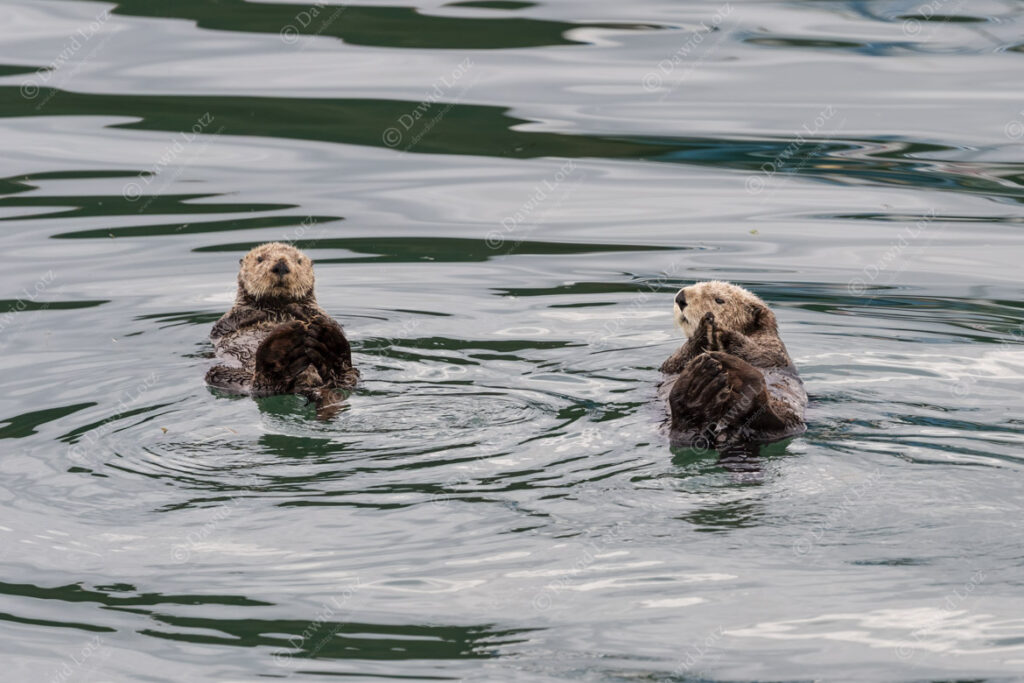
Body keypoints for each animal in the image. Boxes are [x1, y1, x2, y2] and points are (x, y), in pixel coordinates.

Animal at [205, 242, 358, 413]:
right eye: (260, 259)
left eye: (298, 261)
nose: (281, 265)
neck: (277, 308)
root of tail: (305, 383)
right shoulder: (224, 323)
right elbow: (225, 324)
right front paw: (257, 312)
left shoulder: (323, 315)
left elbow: (329, 321)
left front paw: (296, 307)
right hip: (223, 373)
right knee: (260, 386)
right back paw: (283, 352)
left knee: (346, 379)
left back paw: (328, 346)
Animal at [660, 281, 806, 448]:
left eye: (719, 300)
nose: (680, 298)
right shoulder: (672, 365)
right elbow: (673, 363)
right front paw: (702, 331)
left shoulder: (773, 348)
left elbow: (761, 353)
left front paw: (723, 333)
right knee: (687, 433)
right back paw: (697, 390)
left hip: (789, 418)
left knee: (771, 420)